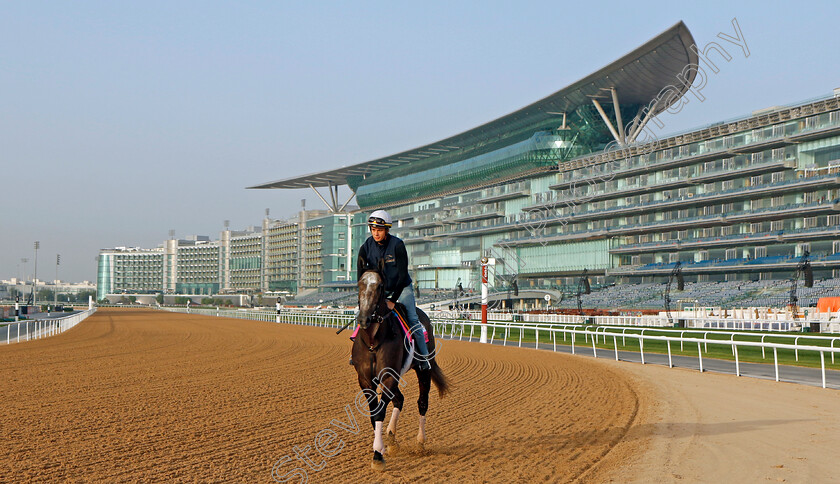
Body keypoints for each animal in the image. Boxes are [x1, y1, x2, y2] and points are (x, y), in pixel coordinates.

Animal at [352, 266, 450, 470]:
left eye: (380, 286)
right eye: (359, 284)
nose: (364, 319)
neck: (373, 341)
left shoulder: (389, 377)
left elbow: (380, 411)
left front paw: (377, 455)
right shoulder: (365, 380)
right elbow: (374, 413)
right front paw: (382, 447)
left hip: (423, 370)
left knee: (422, 402)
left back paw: (420, 443)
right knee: (400, 399)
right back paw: (391, 439)